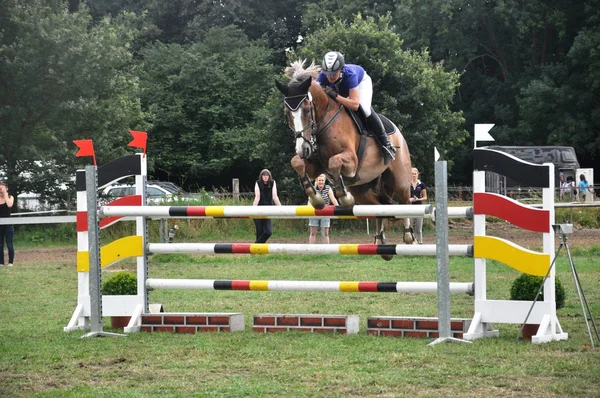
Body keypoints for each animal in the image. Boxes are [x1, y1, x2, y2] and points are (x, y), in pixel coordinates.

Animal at [276, 60, 412, 252]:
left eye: (307, 110)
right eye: (287, 114)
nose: (303, 149)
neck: (323, 123)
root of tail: (398, 133)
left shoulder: (352, 161)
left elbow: (334, 162)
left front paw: (345, 198)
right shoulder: (314, 166)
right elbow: (297, 163)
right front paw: (316, 199)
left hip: (400, 179)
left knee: (405, 201)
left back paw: (409, 236)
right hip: (362, 190)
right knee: (379, 207)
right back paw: (379, 242)